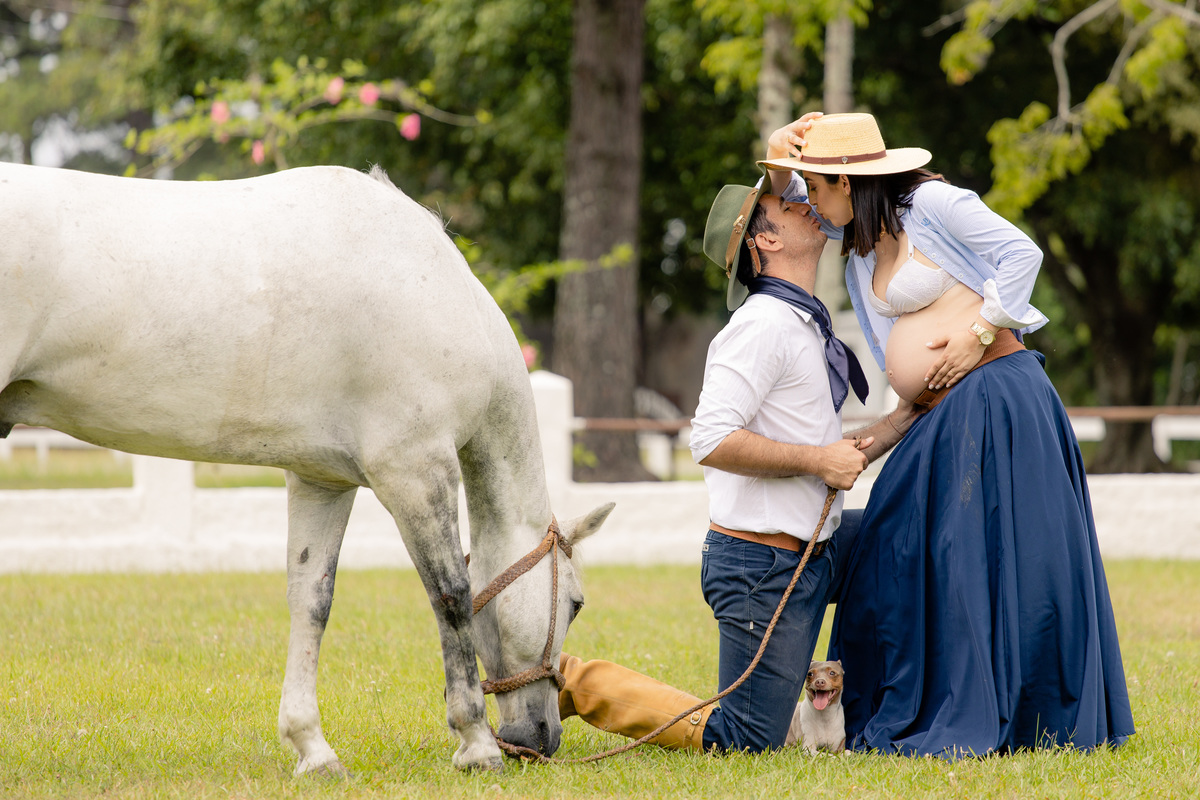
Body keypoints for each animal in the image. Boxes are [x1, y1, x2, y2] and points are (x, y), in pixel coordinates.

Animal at [0, 161, 613, 774]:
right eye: (577, 603)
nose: (537, 740)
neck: (435, 288)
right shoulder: (415, 470)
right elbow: (452, 596)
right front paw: (476, 744)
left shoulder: (323, 481)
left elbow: (310, 600)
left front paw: (312, 748)